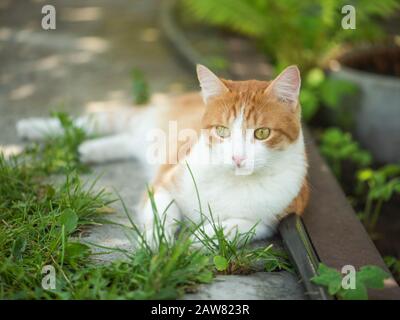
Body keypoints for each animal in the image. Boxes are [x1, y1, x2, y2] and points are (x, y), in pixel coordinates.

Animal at [16, 64, 310, 245]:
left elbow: (240, 225)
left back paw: (89, 150)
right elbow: (165, 213)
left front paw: (201, 238)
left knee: (125, 141)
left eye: (262, 133)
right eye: (222, 131)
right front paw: (155, 242)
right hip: (129, 119)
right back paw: (33, 128)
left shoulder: (276, 218)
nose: (238, 158)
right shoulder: (164, 182)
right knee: (88, 123)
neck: (233, 181)